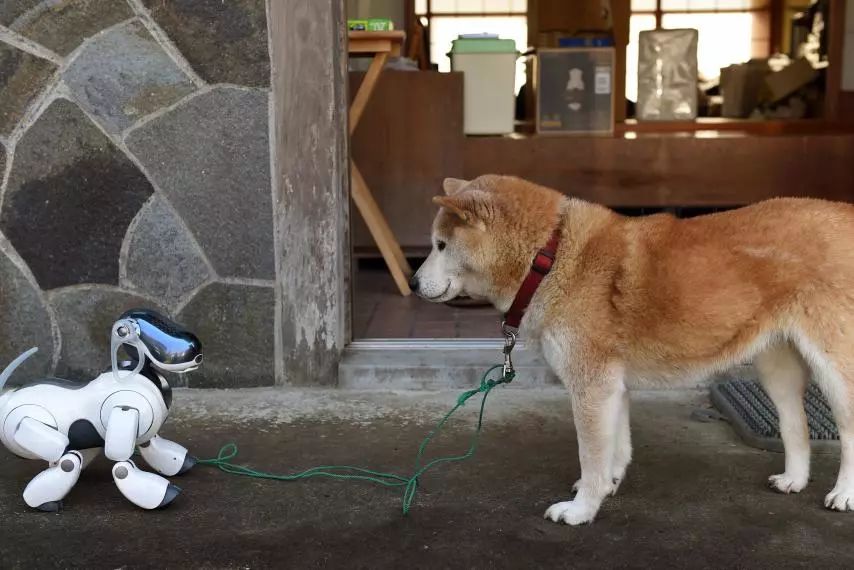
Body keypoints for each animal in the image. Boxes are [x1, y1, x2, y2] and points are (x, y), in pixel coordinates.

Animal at [0, 308, 203, 512]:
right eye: (140, 327)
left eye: (162, 319)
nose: (195, 350)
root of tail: (7, 399)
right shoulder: (124, 409)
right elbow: (121, 463)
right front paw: (163, 495)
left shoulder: (144, 432)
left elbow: (150, 443)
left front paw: (181, 462)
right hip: (34, 427)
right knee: (67, 459)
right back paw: (44, 501)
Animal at [408, 173, 854, 524]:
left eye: (441, 245)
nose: (411, 283)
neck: (550, 256)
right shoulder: (611, 386)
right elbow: (614, 448)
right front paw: (606, 486)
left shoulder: (592, 386)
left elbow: (591, 454)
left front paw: (581, 510)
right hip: (776, 367)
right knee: (796, 424)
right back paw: (794, 480)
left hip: (836, 370)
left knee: (846, 428)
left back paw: (844, 493)